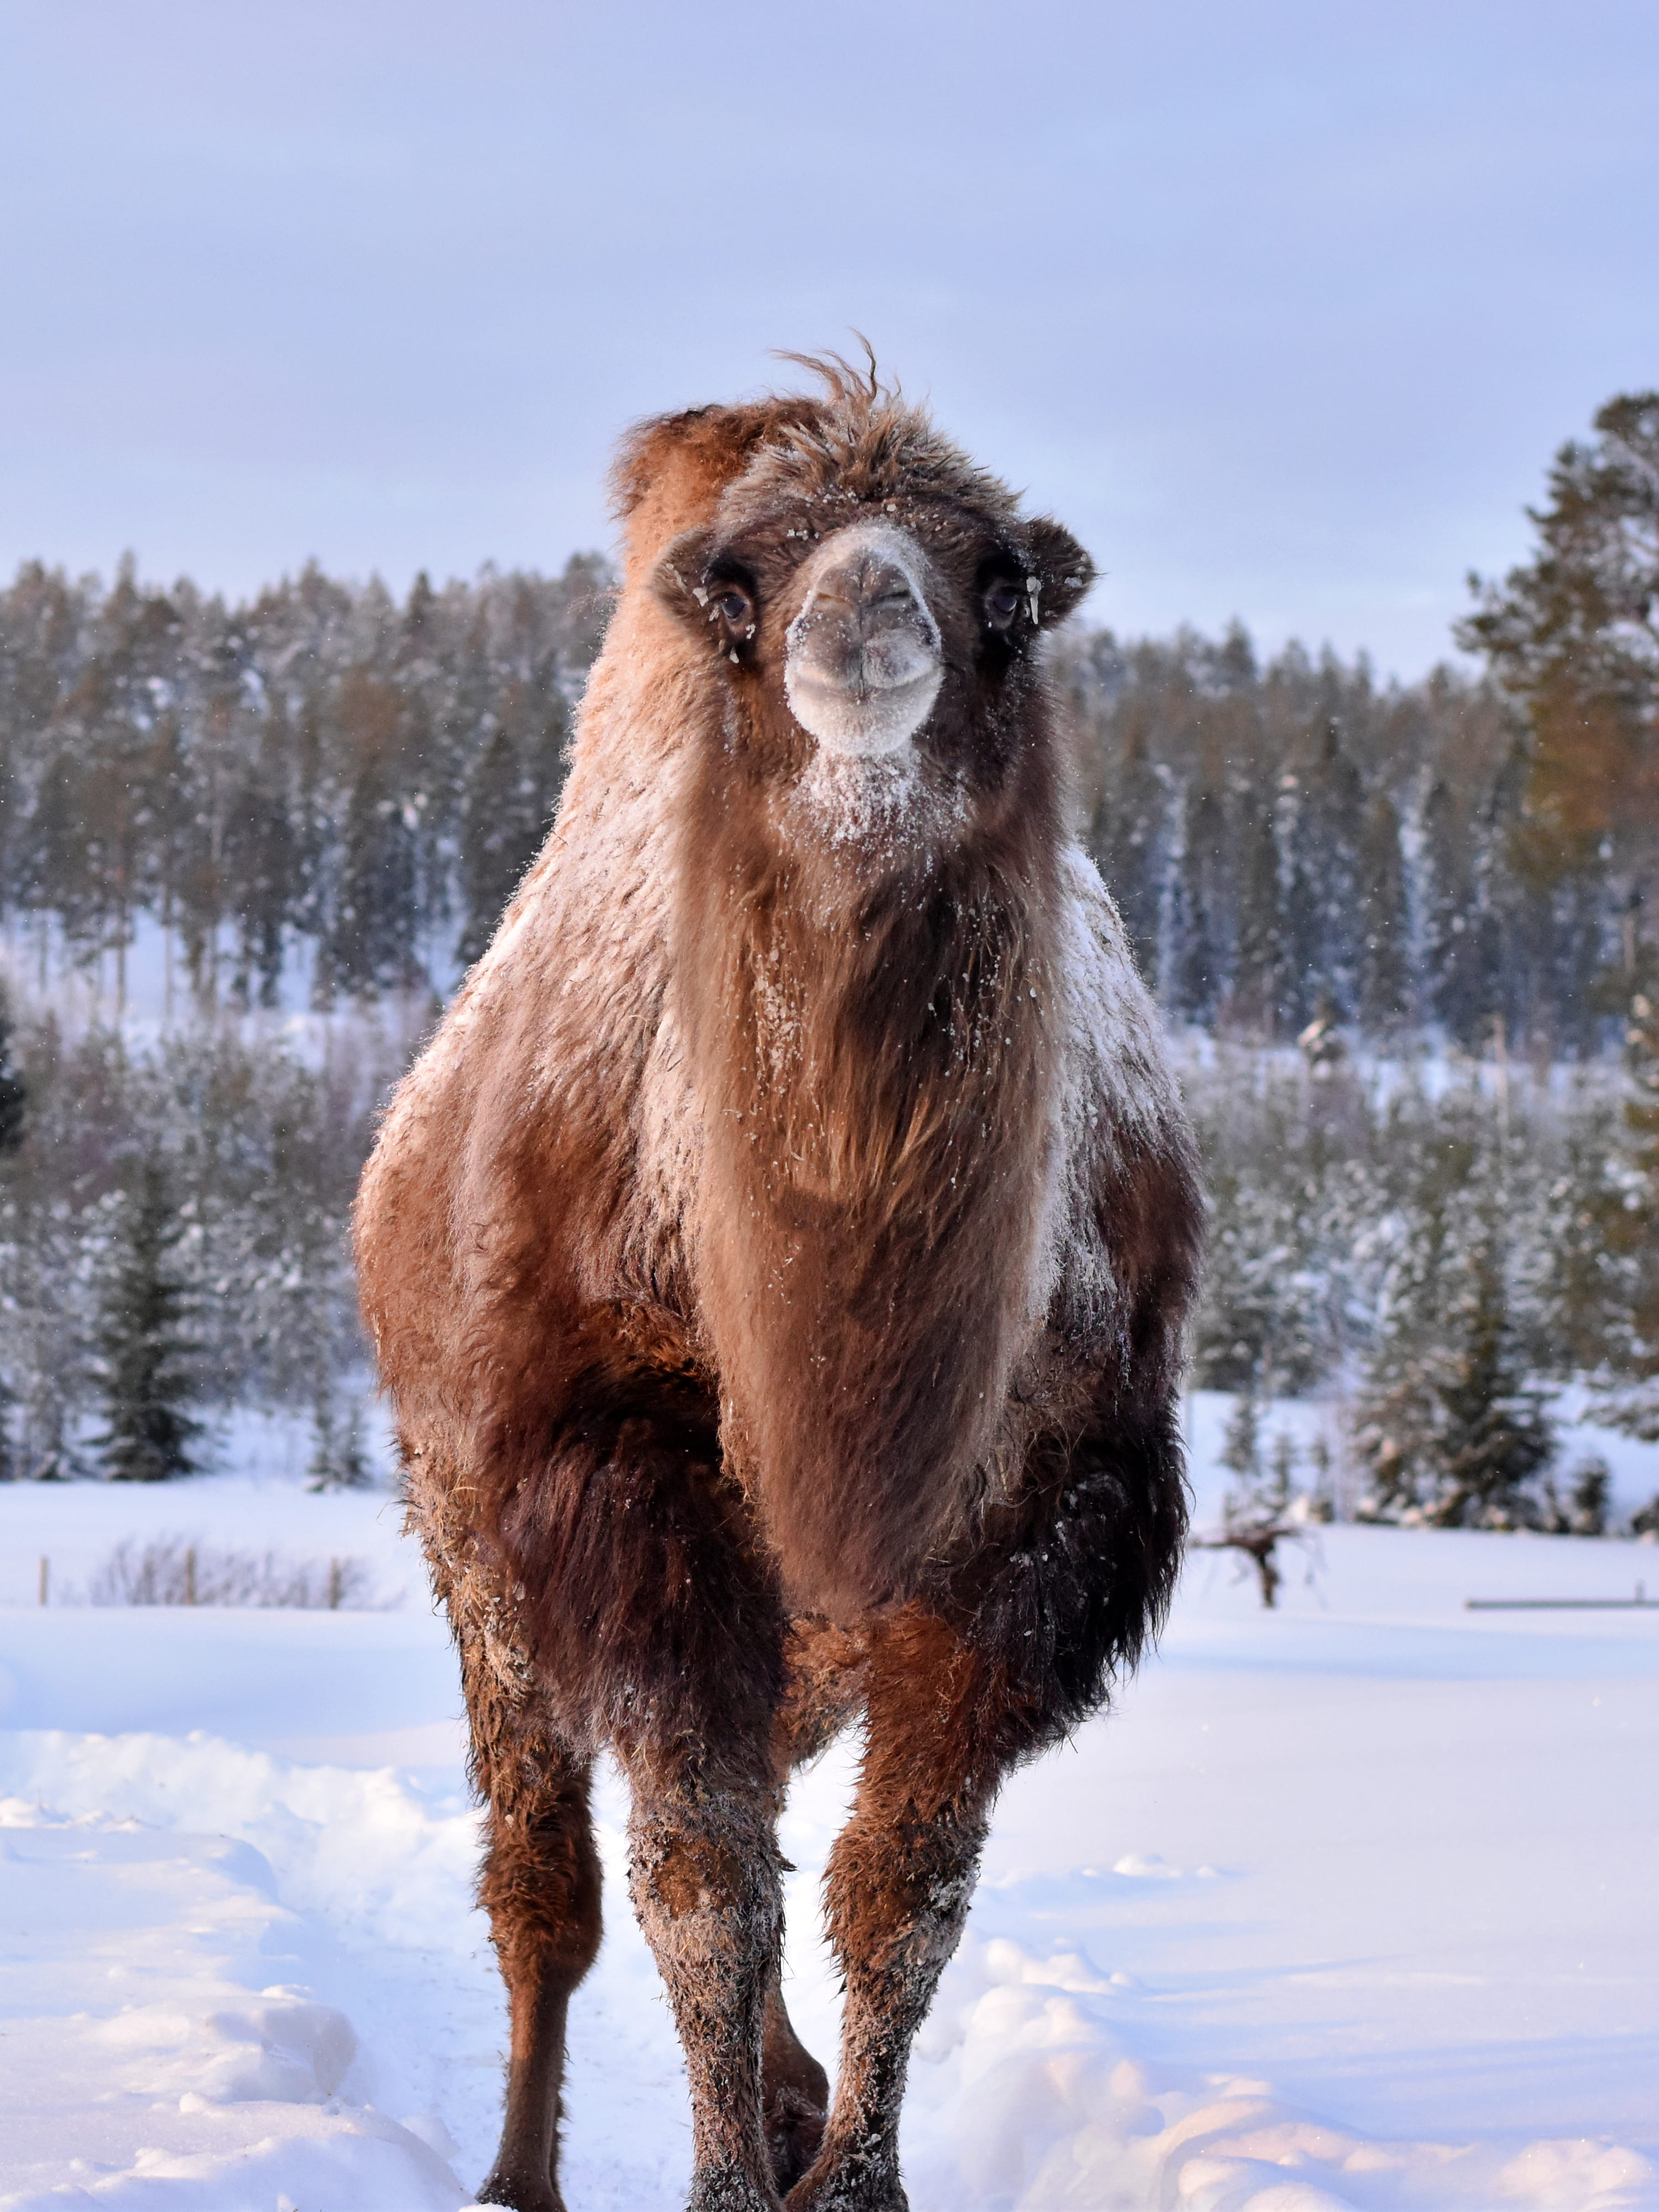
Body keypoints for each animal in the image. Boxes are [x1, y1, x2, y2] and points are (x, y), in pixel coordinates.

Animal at [358, 363, 1203, 2212]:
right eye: (744, 588)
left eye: (1004, 588)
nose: (865, 617)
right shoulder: (617, 1475)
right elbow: (701, 1885)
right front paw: (732, 2187)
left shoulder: (1053, 1506)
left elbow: (904, 1891)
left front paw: (856, 2178)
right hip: (468, 1538)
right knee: (548, 1877)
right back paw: (521, 2174)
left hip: (805, 1634)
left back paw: (795, 2093)